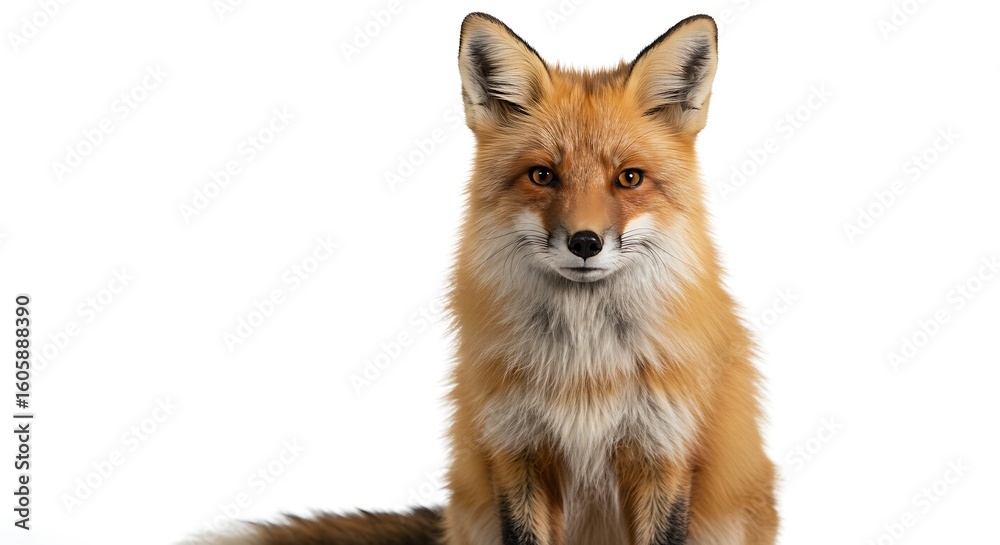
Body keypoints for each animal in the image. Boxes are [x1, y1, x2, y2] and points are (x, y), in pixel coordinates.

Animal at [186, 12, 778, 545]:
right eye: (543, 175)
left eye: (629, 178)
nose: (585, 243)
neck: (584, 368)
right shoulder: (515, 452)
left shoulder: (662, 455)